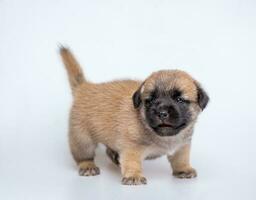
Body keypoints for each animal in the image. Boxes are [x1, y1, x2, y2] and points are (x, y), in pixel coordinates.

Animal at [59, 47, 208, 184]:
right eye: (150, 101)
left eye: (179, 100)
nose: (162, 113)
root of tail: (85, 87)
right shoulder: (131, 148)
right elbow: (132, 162)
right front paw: (133, 175)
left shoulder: (182, 147)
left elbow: (181, 159)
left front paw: (183, 169)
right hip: (82, 140)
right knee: (83, 155)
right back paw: (87, 165)